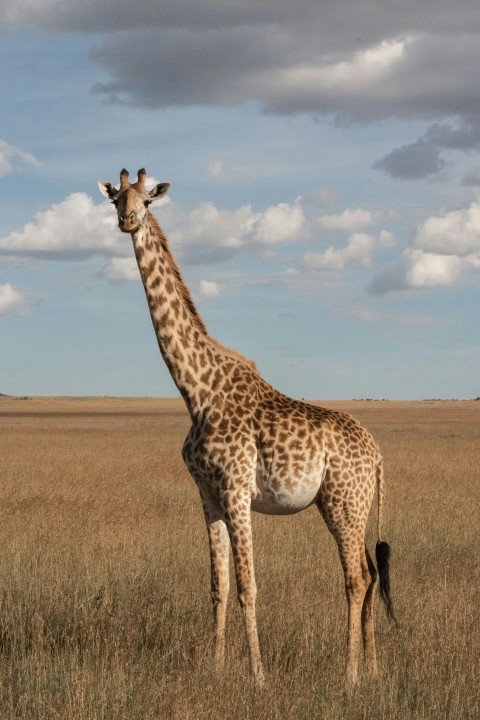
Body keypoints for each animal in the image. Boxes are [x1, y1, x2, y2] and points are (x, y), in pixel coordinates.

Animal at [98, 168, 395, 685]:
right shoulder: (208, 493)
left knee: (357, 577)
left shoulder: (237, 489)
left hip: (345, 501)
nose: (127, 221)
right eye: (116, 198)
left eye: (148, 200)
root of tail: (376, 455)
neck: (196, 391)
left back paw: (349, 674)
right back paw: (374, 669)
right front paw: (215, 668)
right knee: (371, 573)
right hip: (341, 504)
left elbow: (247, 586)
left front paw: (258, 676)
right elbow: (218, 585)